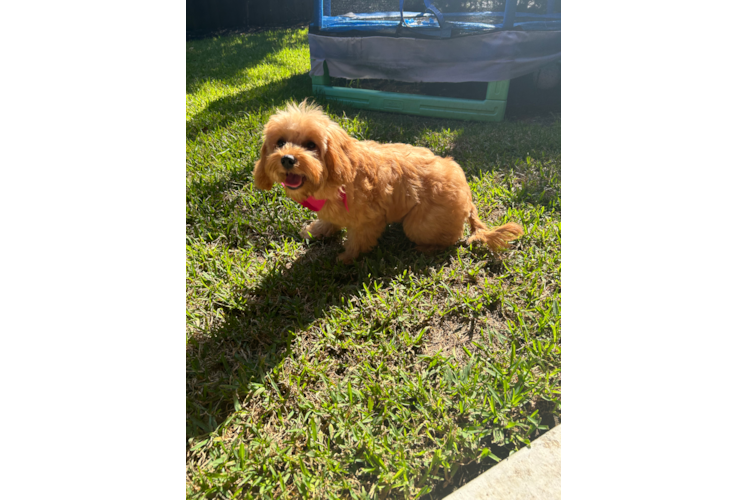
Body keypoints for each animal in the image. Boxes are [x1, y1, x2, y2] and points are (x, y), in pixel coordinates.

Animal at [254, 102, 524, 266]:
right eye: (280, 142)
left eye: (311, 145)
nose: (287, 159)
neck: (336, 176)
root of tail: (468, 195)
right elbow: (328, 221)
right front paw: (317, 230)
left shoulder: (369, 220)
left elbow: (358, 241)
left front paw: (346, 257)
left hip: (419, 225)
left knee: (451, 239)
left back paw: (427, 248)